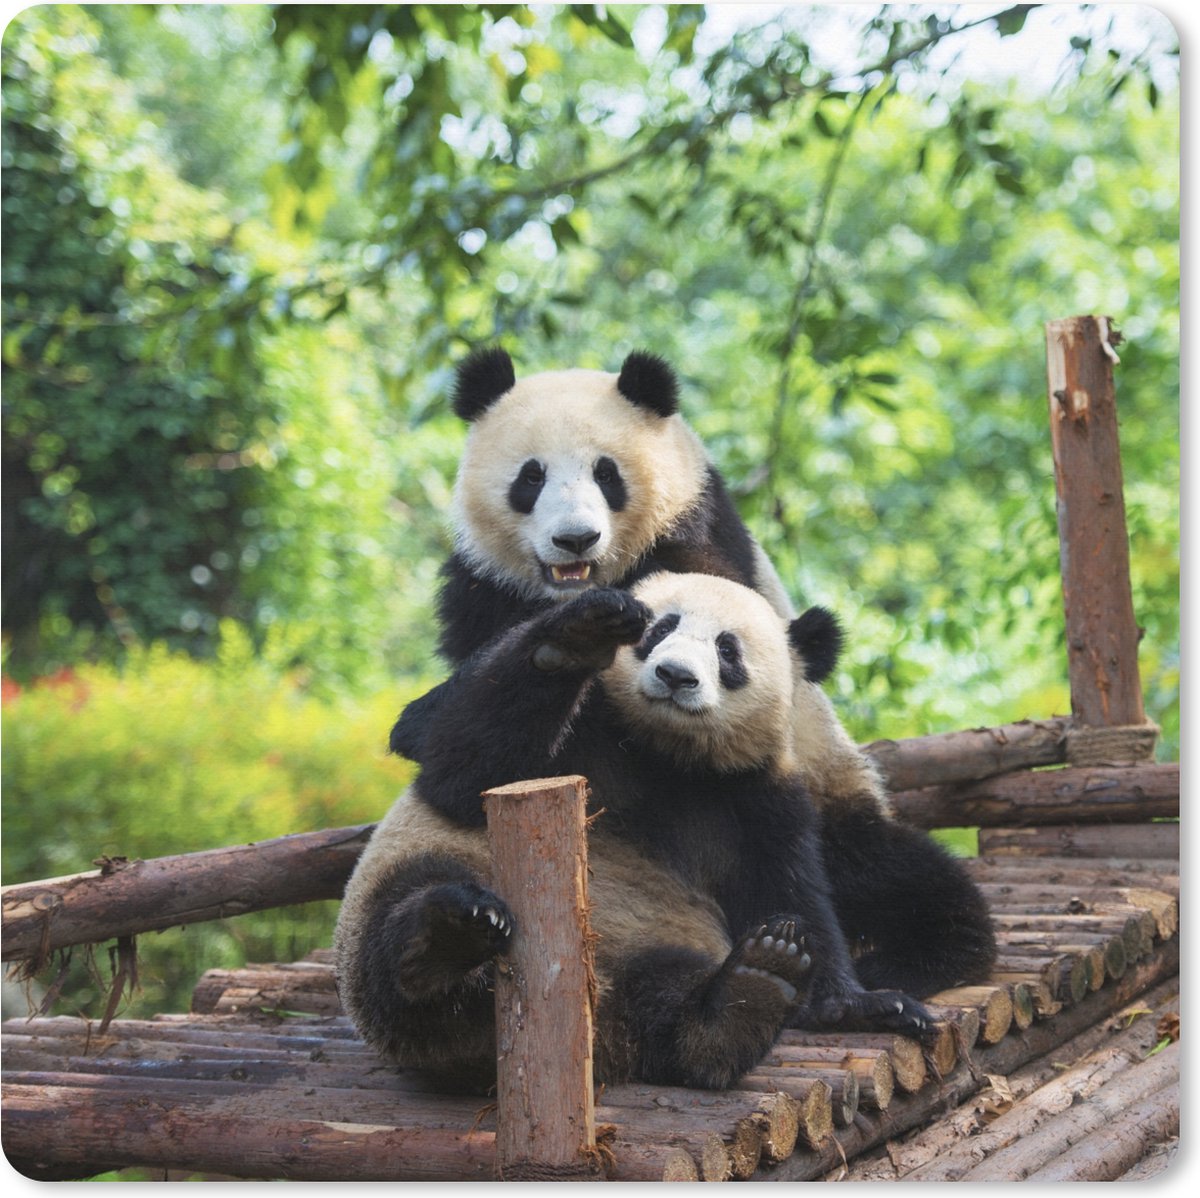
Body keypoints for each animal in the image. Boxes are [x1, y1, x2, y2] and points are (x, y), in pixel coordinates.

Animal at [336, 574, 992, 1091]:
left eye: (727, 649)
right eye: (659, 628)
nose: (675, 675)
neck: (664, 753)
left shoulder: (755, 796)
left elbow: (791, 888)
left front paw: (856, 1001)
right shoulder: (583, 735)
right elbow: (462, 772)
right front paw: (576, 637)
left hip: (650, 949)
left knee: (667, 1004)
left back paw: (743, 999)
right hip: (428, 886)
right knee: (405, 924)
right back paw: (449, 939)